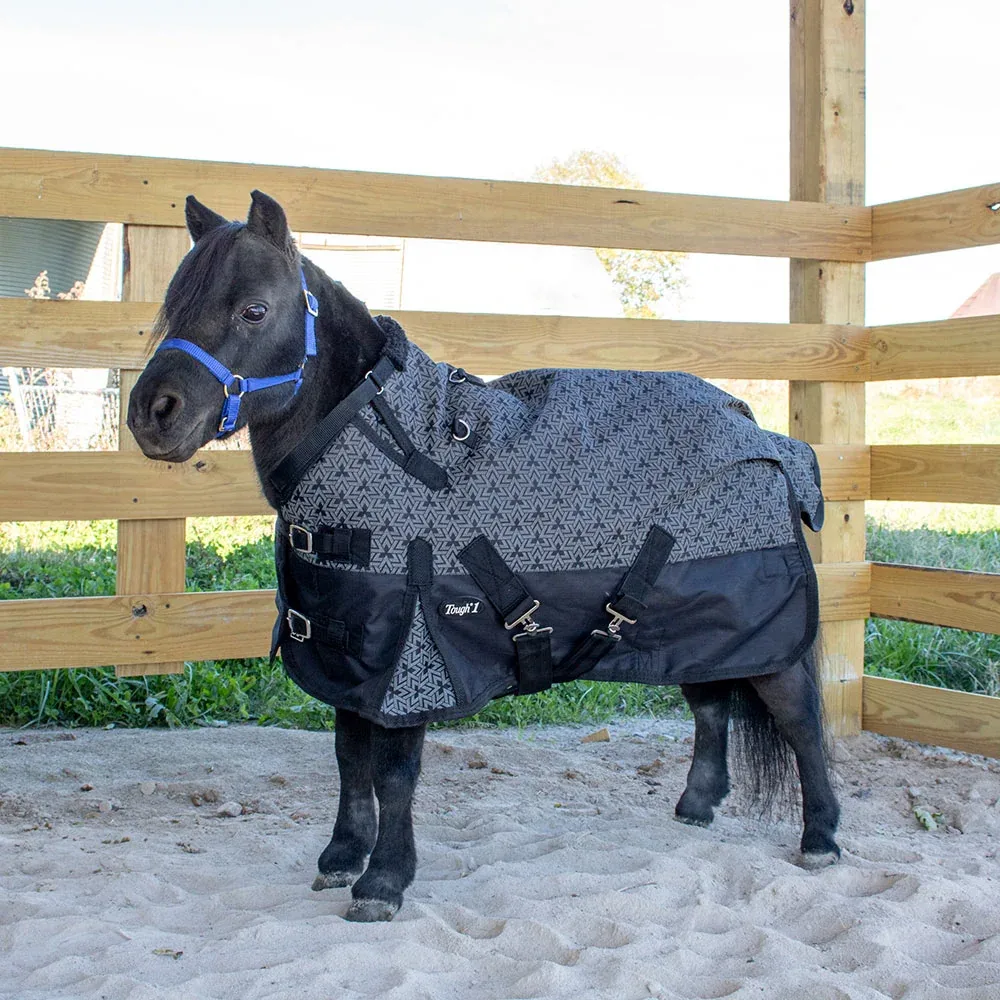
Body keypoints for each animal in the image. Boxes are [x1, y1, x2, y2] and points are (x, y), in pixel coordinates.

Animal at [127, 191, 841, 922]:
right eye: (174, 305)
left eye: (254, 309)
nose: (153, 412)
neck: (392, 447)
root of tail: (760, 432)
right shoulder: (349, 647)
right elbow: (349, 756)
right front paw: (341, 857)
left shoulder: (410, 651)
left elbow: (393, 772)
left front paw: (384, 882)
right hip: (698, 621)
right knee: (710, 703)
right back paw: (697, 805)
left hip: (763, 628)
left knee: (801, 721)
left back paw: (820, 839)